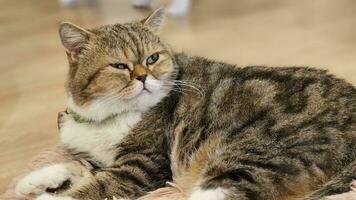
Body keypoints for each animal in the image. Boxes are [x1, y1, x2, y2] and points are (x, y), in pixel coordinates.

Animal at [13, 7, 356, 200]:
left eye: (152, 58)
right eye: (120, 66)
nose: (143, 78)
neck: (107, 115)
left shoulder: (144, 163)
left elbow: (100, 184)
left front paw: (53, 197)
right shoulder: (105, 158)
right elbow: (81, 165)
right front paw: (34, 181)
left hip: (255, 155)